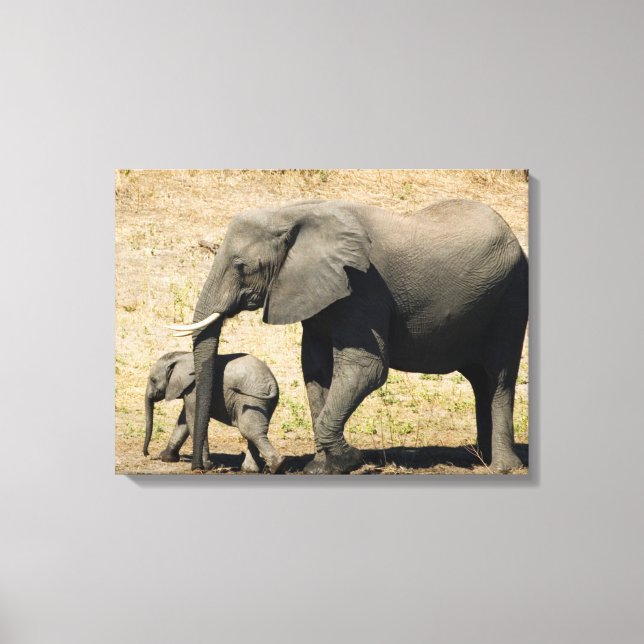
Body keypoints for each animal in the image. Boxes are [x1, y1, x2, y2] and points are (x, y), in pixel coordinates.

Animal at [143, 350, 285, 473]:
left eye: (153, 380)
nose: (147, 454)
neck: (182, 356)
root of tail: (272, 384)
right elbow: (183, 421)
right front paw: (166, 457)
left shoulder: (194, 389)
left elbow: (192, 419)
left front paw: (204, 466)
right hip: (263, 402)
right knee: (254, 432)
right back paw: (251, 470)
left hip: (251, 400)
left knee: (250, 431)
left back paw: (275, 467)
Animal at [168, 199, 528, 474]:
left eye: (241, 266)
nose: (203, 467)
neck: (291, 213)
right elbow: (315, 369)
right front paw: (319, 468)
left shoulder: (362, 286)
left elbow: (365, 369)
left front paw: (350, 460)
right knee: (480, 380)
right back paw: (479, 458)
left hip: (511, 297)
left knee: (499, 377)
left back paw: (501, 467)